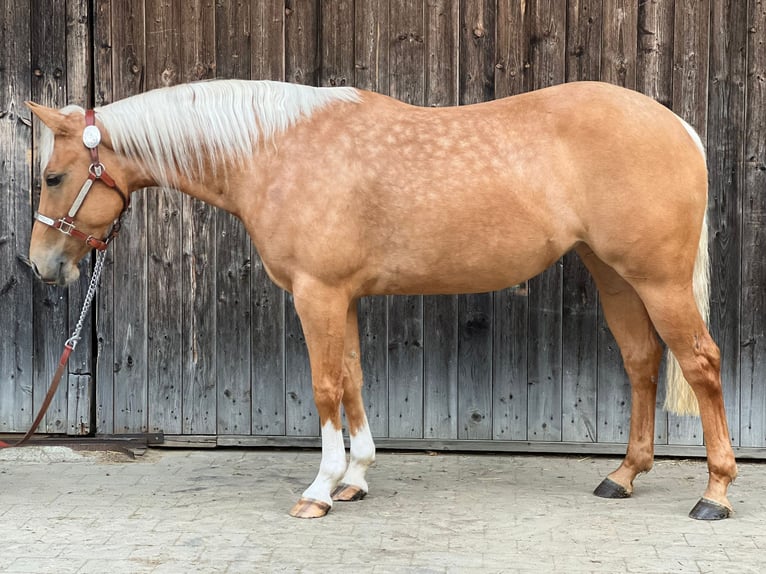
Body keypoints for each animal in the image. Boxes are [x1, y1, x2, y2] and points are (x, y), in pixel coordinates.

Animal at [26, 79, 737, 520]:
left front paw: (319, 488)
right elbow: (353, 379)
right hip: (614, 274)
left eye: (53, 176)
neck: (275, 151)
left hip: (659, 280)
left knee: (701, 363)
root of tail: (677, 125)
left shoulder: (316, 294)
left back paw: (716, 493)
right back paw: (622, 477)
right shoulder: (341, 297)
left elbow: (323, 387)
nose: (41, 266)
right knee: (643, 362)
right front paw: (357, 478)